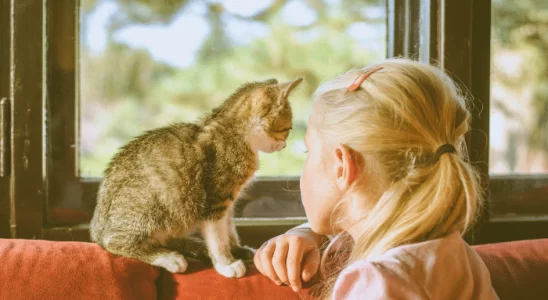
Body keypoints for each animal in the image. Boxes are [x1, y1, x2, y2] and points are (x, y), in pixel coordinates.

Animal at [90, 78, 304, 278]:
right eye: (288, 129)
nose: (285, 145)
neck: (235, 133)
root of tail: (97, 226)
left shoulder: (227, 203)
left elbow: (228, 229)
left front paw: (236, 249)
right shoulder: (214, 201)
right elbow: (217, 238)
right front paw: (226, 264)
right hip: (150, 208)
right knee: (115, 242)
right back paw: (168, 257)